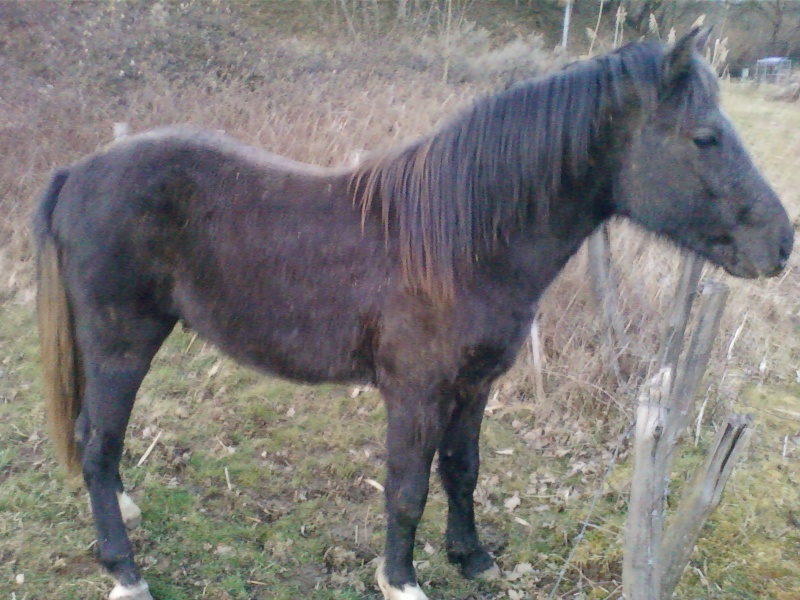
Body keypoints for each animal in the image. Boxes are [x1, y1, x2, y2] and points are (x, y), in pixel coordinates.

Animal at [34, 28, 792, 600]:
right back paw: (125, 570)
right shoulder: (417, 393)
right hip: (121, 341)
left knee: (101, 442)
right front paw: (400, 578)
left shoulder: (474, 387)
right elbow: (406, 487)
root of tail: (80, 172)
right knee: (97, 442)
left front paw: (473, 557)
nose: (782, 243)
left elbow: (462, 470)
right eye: (703, 137)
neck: (460, 243)